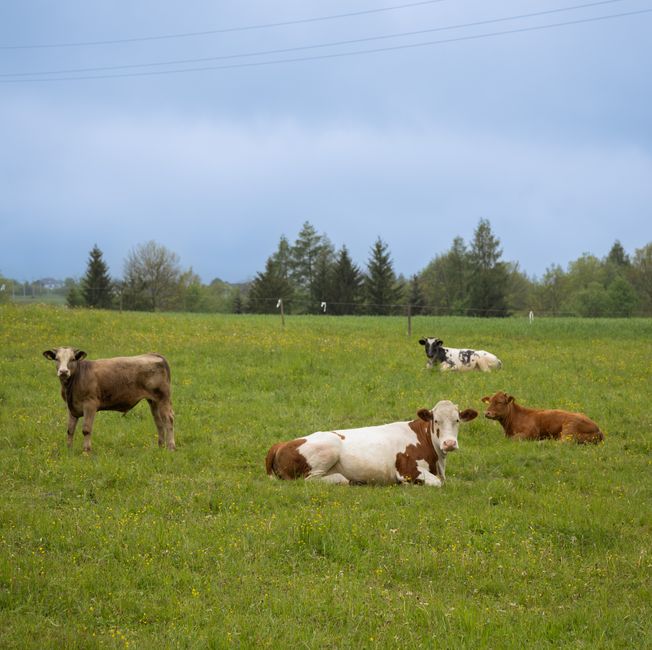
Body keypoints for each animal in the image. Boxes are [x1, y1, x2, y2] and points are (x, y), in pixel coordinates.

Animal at [43, 347, 175, 452]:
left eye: (72, 359)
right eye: (57, 359)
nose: (63, 371)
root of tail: (153, 354)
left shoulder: (90, 405)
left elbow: (86, 429)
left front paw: (86, 451)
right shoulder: (71, 407)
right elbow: (70, 430)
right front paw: (69, 450)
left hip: (163, 398)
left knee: (168, 420)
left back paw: (171, 447)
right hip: (153, 401)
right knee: (159, 422)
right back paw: (160, 446)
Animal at [265, 401, 478, 486]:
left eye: (457, 420)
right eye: (436, 421)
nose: (449, 443)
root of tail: (281, 444)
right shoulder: (407, 470)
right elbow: (436, 483)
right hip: (328, 449)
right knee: (310, 480)